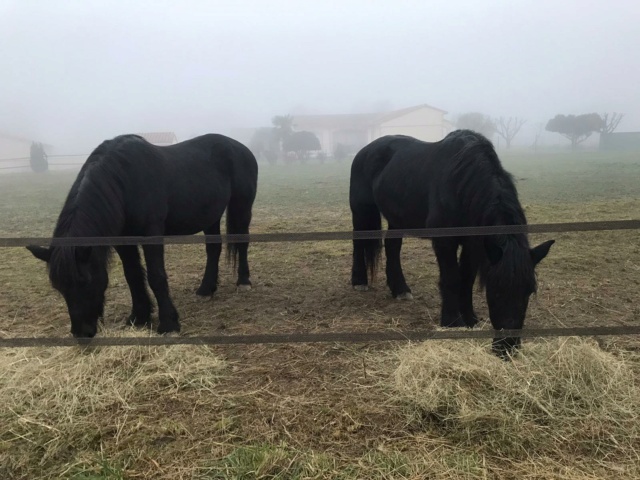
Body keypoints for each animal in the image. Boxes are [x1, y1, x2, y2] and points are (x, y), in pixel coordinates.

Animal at [26, 133, 258, 340]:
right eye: (59, 287)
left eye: (85, 281)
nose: (81, 333)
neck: (124, 181)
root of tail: (241, 148)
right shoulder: (123, 241)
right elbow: (133, 275)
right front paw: (139, 317)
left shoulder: (151, 233)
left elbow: (156, 276)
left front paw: (168, 324)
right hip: (210, 216)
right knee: (213, 249)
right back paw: (206, 289)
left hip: (241, 206)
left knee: (242, 244)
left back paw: (243, 282)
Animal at [350, 129, 556, 354]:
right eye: (496, 290)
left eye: (529, 291)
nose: (507, 347)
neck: (461, 184)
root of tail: (365, 150)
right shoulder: (445, 242)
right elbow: (451, 278)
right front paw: (452, 321)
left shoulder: (473, 244)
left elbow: (467, 278)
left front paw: (470, 318)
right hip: (361, 210)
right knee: (358, 244)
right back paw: (359, 282)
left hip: (397, 219)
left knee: (392, 247)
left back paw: (400, 289)